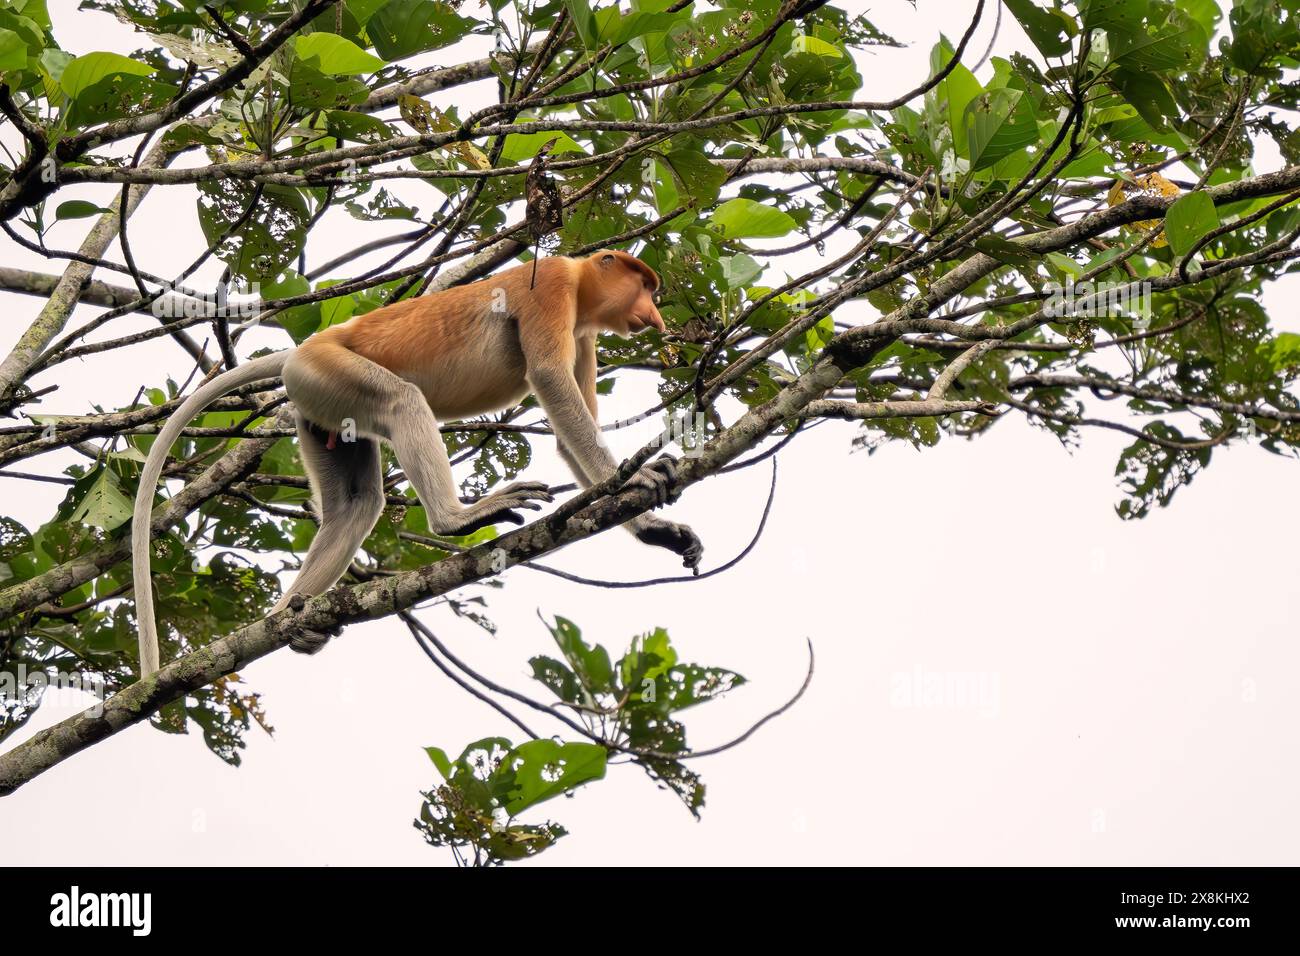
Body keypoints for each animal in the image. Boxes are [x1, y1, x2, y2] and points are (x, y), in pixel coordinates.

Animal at [131, 251, 702, 676]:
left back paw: (293, 619)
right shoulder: (552, 290)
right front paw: (642, 477)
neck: (582, 281)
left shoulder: (584, 333)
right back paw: (459, 518)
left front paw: (659, 529)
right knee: (402, 401)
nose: (655, 315)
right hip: (331, 372)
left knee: (356, 505)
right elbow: (552, 383)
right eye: (644, 285)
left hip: (319, 411)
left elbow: (568, 437)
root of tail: (301, 351)